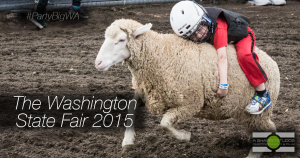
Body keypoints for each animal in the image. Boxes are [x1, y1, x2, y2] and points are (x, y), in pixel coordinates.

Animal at [95, 19, 280, 157]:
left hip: (257, 114)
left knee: (268, 129)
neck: (159, 54)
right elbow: (131, 110)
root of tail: (272, 63)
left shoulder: (191, 103)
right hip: (244, 114)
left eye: (121, 40)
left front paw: (185, 136)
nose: (97, 63)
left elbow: (164, 123)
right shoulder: (147, 92)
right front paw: (127, 141)